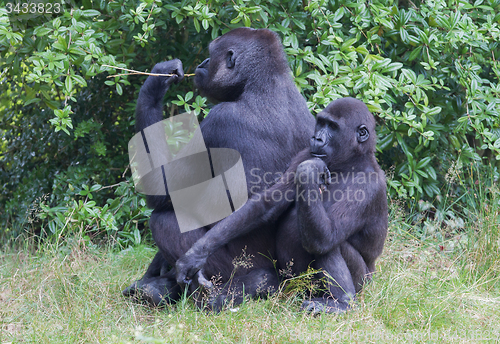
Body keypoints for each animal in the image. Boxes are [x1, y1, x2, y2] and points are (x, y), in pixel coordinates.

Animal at [123, 28, 314, 306]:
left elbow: (162, 190)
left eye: (211, 54)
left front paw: (155, 84)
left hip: (236, 267)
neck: (263, 83)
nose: (202, 63)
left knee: (165, 221)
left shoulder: (217, 121)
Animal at [176, 98, 390, 314]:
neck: (351, 163)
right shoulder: (304, 154)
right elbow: (267, 205)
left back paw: (342, 303)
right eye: (321, 123)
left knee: (326, 243)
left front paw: (309, 171)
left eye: (333, 127)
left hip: (361, 281)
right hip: (295, 282)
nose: (317, 138)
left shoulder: (369, 187)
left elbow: (325, 238)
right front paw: (196, 254)